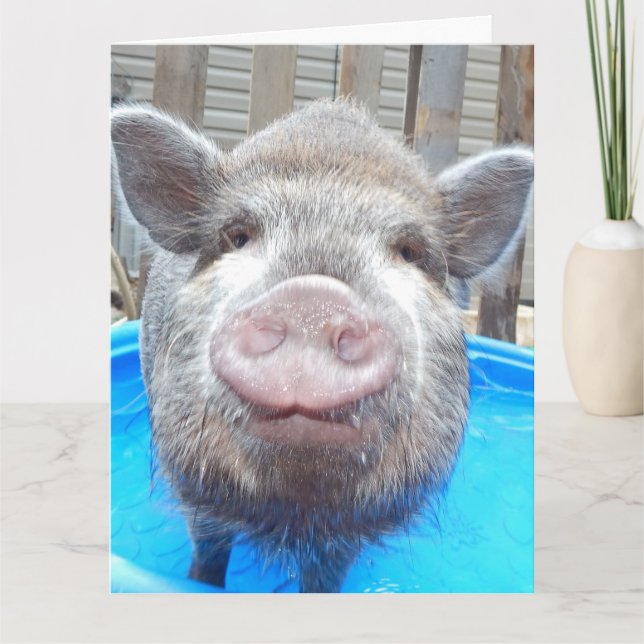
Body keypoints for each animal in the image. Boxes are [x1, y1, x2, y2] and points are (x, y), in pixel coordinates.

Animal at [111, 98, 533, 593]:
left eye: (410, 252)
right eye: (237, 236)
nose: (312, 299)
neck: (293, 513)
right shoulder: (194, 493)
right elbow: (209, 553)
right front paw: (201, 581)